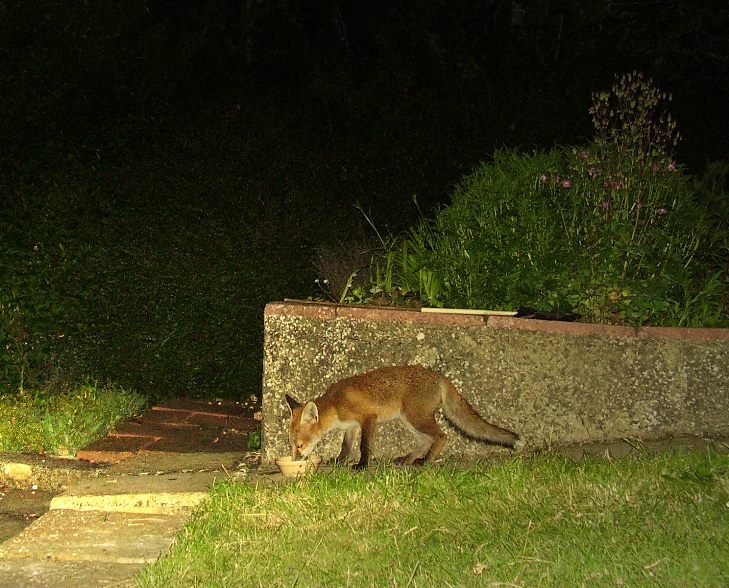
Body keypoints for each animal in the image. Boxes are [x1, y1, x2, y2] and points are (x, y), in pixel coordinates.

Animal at [284, 366, 524, 470]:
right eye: (291, 445)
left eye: (299, 445)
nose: (295, 460)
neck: (335, 404)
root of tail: (440, 376)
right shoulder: (351, 426)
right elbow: (346, 446)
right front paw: (339, 461)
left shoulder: (368, 418)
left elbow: (364, 446)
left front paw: (362, 465)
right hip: (409, 420)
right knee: (427, 440)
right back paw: (409, 459)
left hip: (415, 418)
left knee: (441, 436)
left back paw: (426, 461)